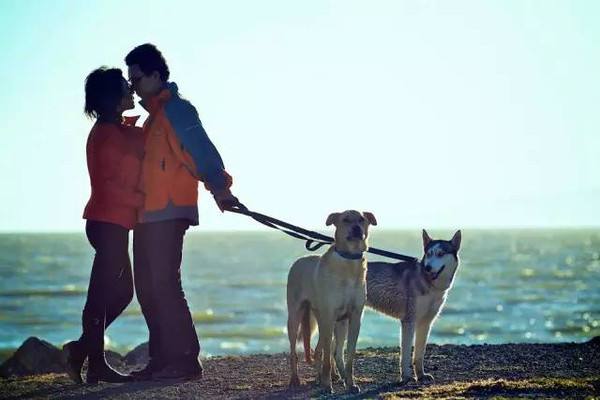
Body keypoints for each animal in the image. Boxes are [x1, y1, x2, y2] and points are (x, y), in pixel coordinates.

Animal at [284, 211, 376, 392]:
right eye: (345, 219)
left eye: (362, 219)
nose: (356, 228)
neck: (349, 261)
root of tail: (299, 260)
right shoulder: (328, 315)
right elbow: (326, 355)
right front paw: (327, 385)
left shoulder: (354, 317)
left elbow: (349, 356)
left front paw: (350, 382)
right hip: (297, 316)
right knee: (296, 351)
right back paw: (296, 379)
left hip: (337, 323)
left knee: (328, 350)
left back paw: (332, 376)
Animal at [364, 231, 462, 384]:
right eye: (429, 253)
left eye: (440, 254)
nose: (428, 267)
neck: (428, 282)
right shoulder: (408, 321)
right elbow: (405, 354)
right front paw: (406, 377)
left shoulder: (426, 323)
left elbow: (419, 354)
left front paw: (421, 375)